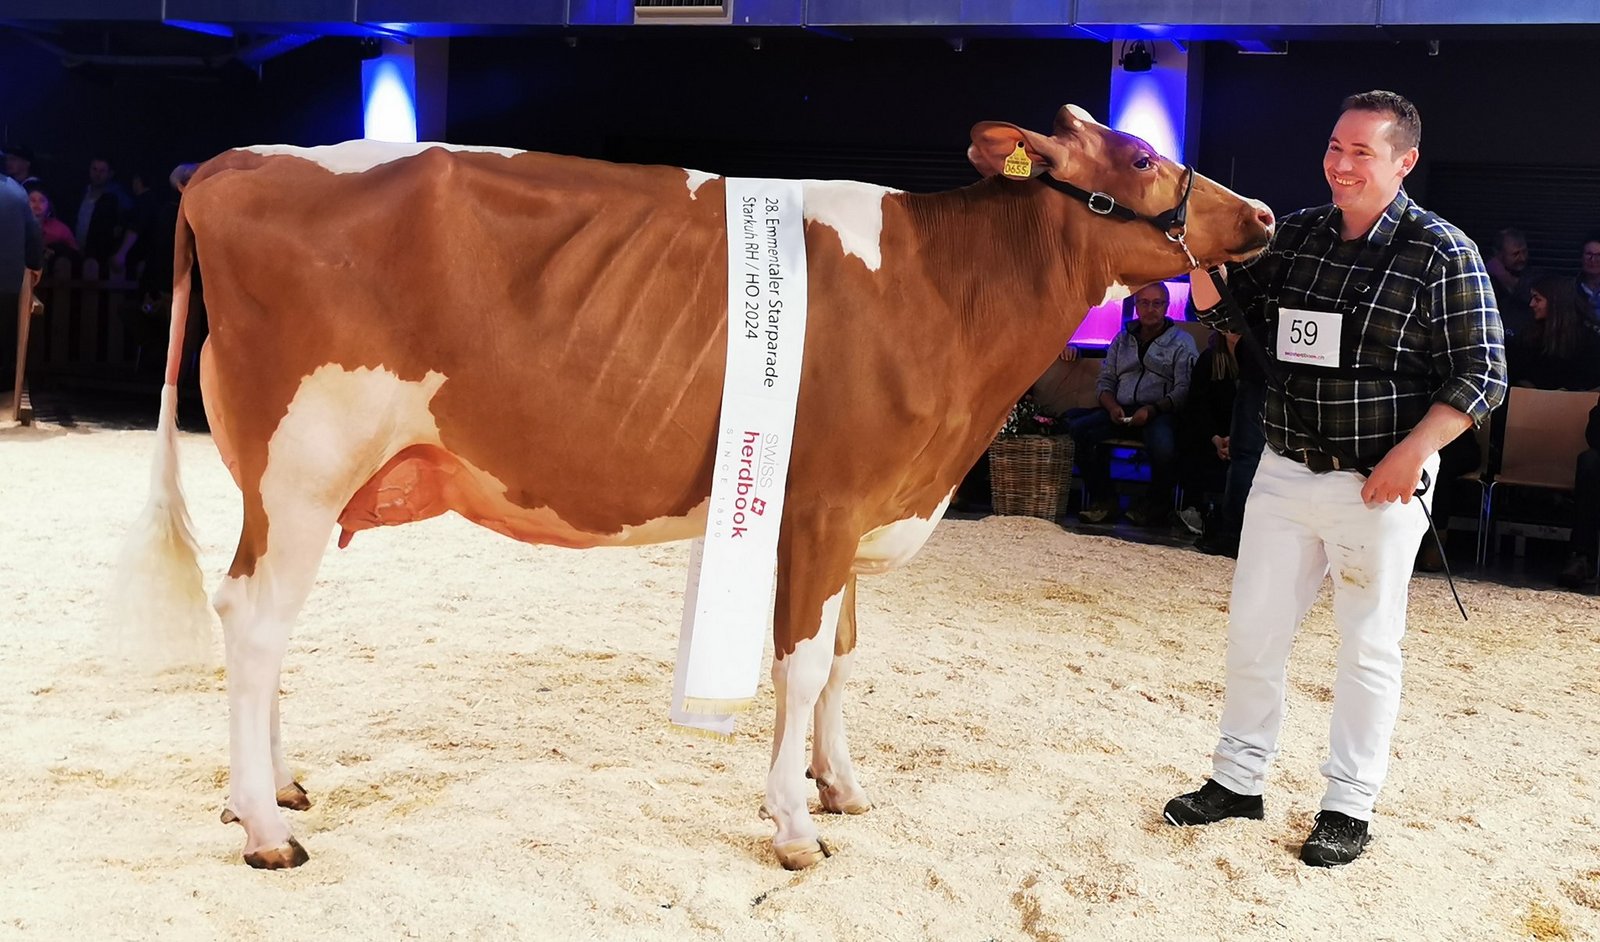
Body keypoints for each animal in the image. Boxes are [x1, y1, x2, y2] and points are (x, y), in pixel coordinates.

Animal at [112, 103, 1273, 871]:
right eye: (1139, 154)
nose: (1261, 211)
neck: (946, 291)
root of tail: (227, 166)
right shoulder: (820, 507)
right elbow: (801, 667)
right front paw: (793, 826)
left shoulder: (857, 514)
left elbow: (846, 661)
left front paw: (841, 787)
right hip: (305, 463)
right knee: (253, 619)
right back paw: (266, 828)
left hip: (285, 485)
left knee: (264, 624)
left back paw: (275, 789)